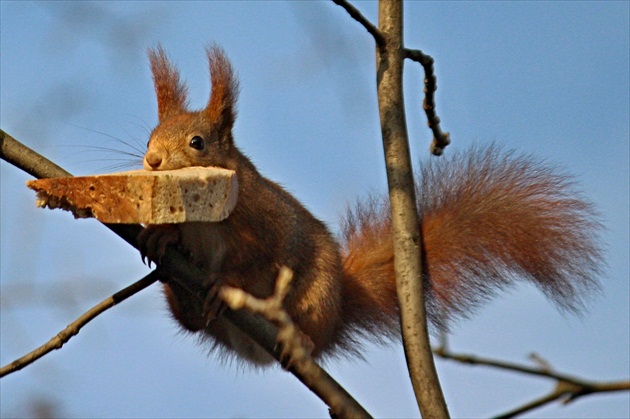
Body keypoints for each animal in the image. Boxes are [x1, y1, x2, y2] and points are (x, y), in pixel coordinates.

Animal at [137, 46, 604, 368]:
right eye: (149, 138)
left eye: (197, 143)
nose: (152, 161)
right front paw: (162, 235)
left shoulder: (263, 222)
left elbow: (256, 256)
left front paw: (222, 281)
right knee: (192, 321)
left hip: (317, 295)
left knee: (310, 332)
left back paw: (301, 340)